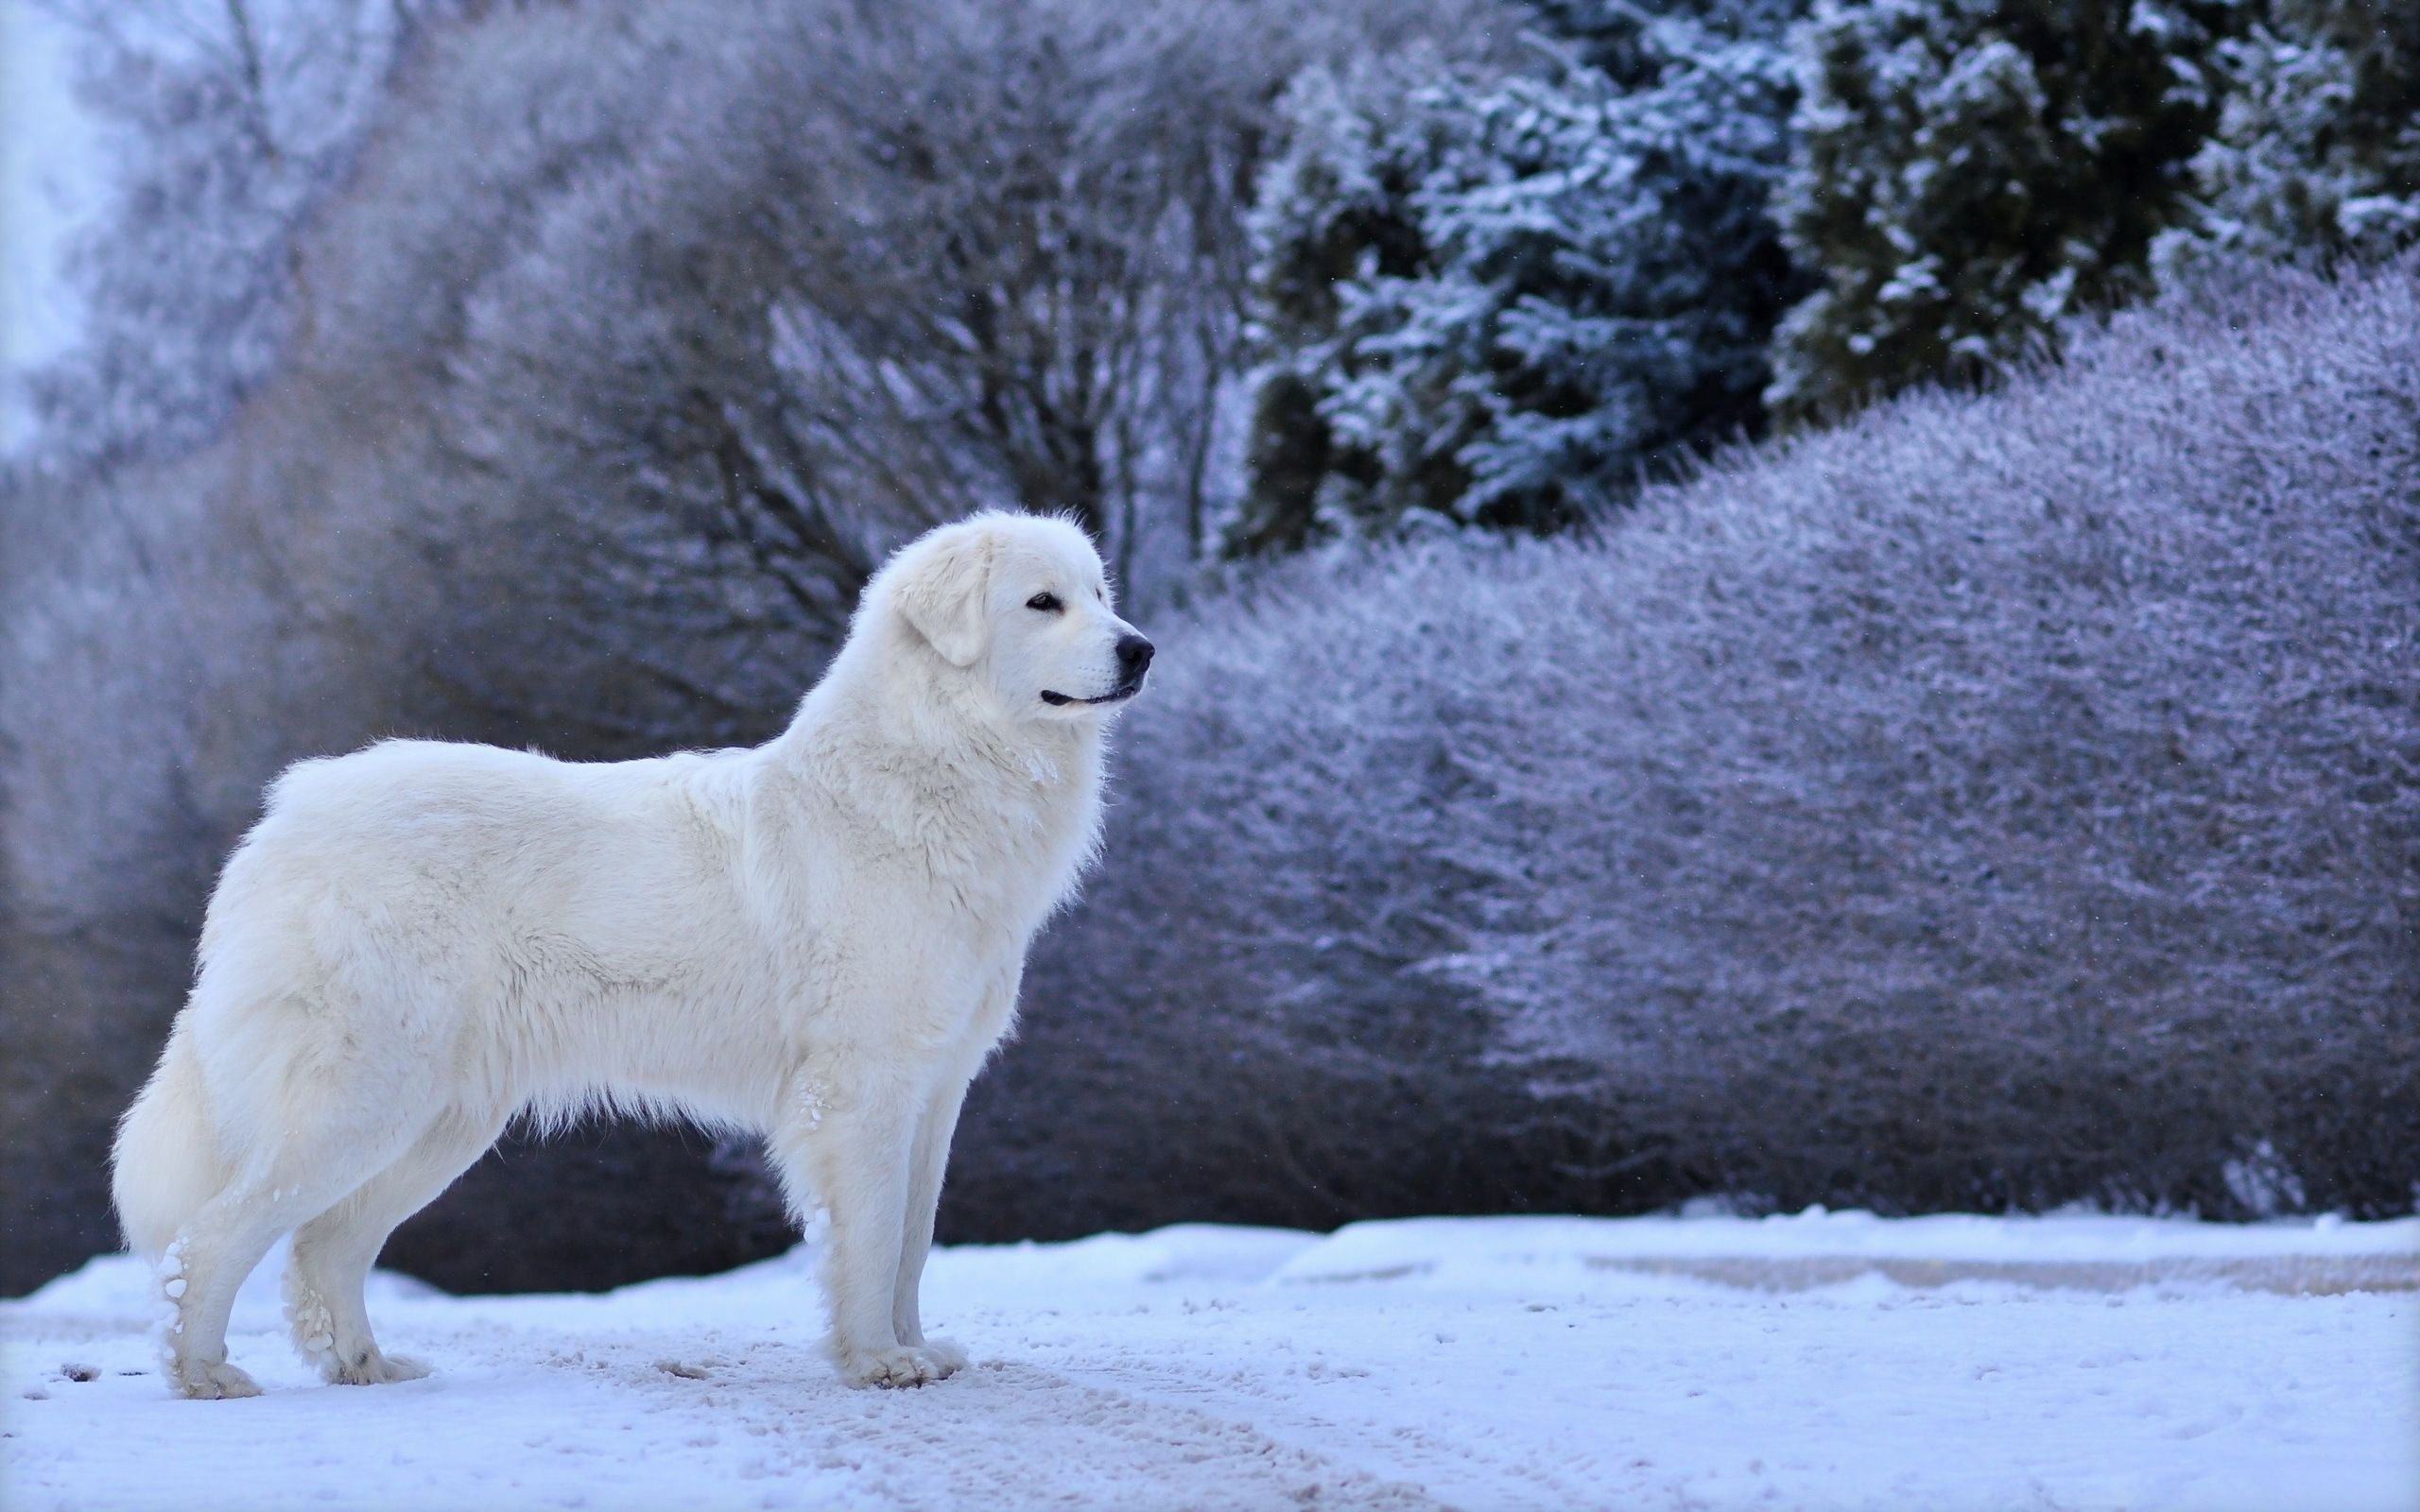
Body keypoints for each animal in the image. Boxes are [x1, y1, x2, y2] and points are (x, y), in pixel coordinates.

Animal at [104, 512, 1142, 1393]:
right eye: (1042, 602)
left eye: (1099, 591)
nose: (1141, 648)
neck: (930, 773)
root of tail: (284, 818)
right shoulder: (862, 1088)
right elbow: (877, 1235)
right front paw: (878, 1362)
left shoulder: (935, 1089)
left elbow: (915, 1241)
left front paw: (918, 1348)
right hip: (360, 1103)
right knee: (210, 1237)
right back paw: (203, 1374)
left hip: (436, 1121)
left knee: (323, 1245)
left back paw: (369, 1366)